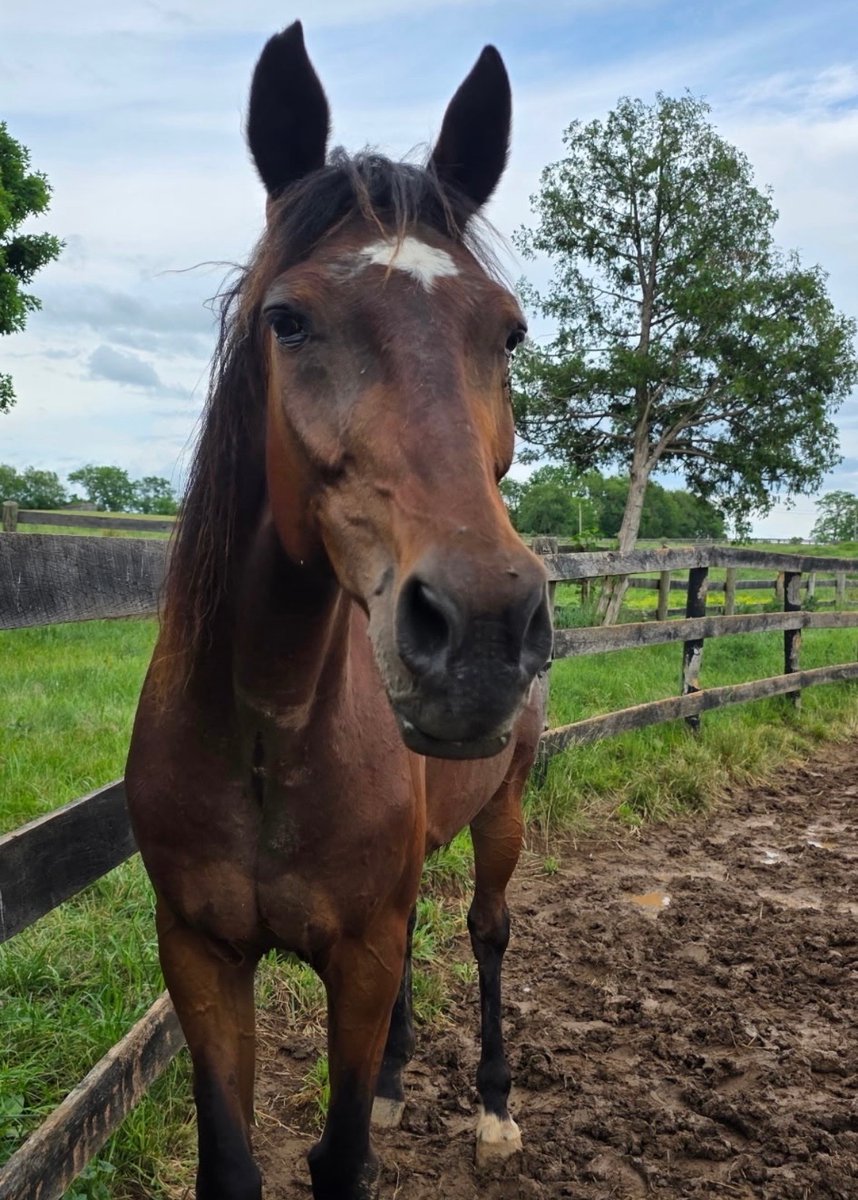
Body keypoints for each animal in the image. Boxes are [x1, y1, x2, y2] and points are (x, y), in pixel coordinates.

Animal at [125, 21, 553, 1200]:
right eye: (289, 320)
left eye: (508, 334)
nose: (485, 628)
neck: (267, 736)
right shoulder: (201, 957)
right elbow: (233, 1163)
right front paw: (391, 1088)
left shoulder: (355, 953)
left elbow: (344, 1156)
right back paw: (409, 1082)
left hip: (502, 813)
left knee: (489, 932)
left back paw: (493, 1107)